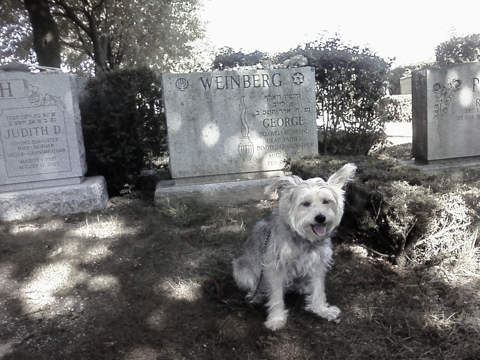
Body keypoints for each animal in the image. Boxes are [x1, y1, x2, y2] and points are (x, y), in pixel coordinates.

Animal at [232, 165, 356, 330]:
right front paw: (276, 318)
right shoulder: (275, 267)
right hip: (242, 272)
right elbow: (276, 295)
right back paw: (256, 295)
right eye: (305, 203)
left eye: (326, 201)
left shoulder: (318, 264)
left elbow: (319, 289)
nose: (320, 218)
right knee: (255, 285)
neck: (304, 238)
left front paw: (322, 310)